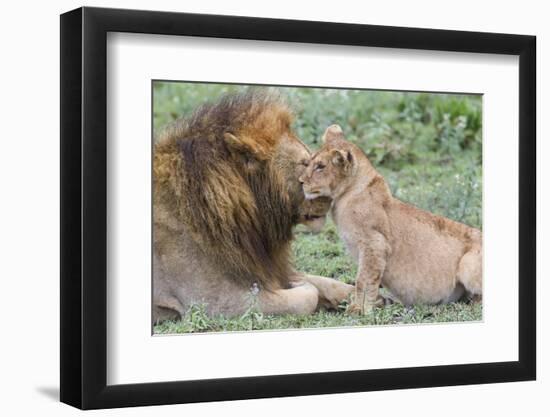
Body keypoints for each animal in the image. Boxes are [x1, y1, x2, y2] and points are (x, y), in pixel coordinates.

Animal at [154, 90, 354, 322]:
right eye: (305, 164)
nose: (332, 197)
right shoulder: (215, 301)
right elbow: (307, 296)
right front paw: (298, 284)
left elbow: (326, 282)